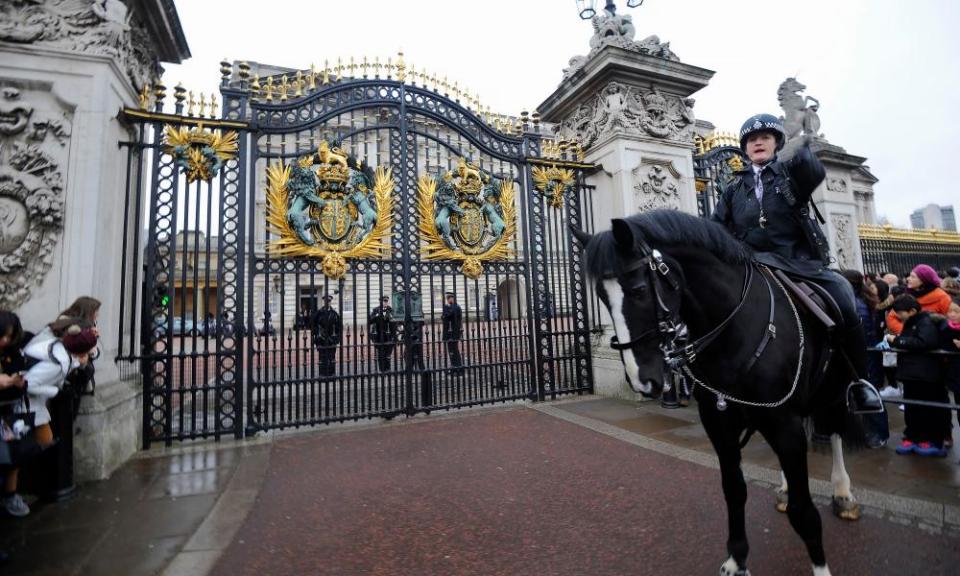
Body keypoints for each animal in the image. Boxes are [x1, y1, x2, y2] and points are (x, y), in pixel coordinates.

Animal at [576, 210, 864, 576]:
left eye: (639, 290)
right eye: (601, 295)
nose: (642, 381)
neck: (733, 328)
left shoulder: (782, 421)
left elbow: (803, 510)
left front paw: (820, 567)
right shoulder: (720, 422)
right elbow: (734, 490)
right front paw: (736, 559)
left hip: (835, 387)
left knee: (836, 428)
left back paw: (843, 492)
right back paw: (787, 488)